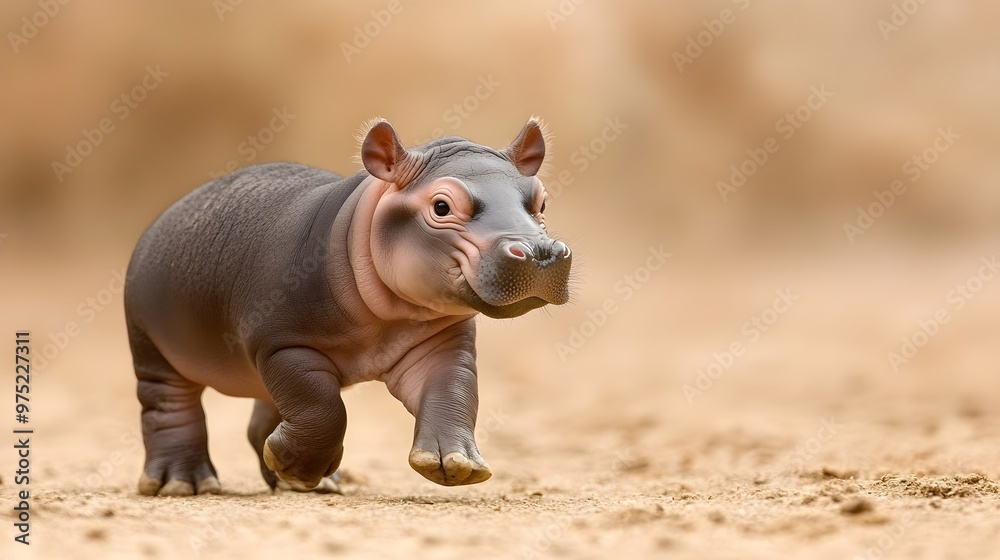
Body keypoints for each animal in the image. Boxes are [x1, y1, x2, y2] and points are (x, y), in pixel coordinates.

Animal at [124, 117, 572, 496]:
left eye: (541, 202)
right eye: (441, 206)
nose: (540, 252)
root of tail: (166, 215)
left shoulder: (442, 345)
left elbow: (453, 392)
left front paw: (457, 463)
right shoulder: (285, 344)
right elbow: (323, 409)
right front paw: (300, 469)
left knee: (262, 419)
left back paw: (304, 482)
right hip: (152, 346)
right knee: (169, 407)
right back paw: (182, 484)